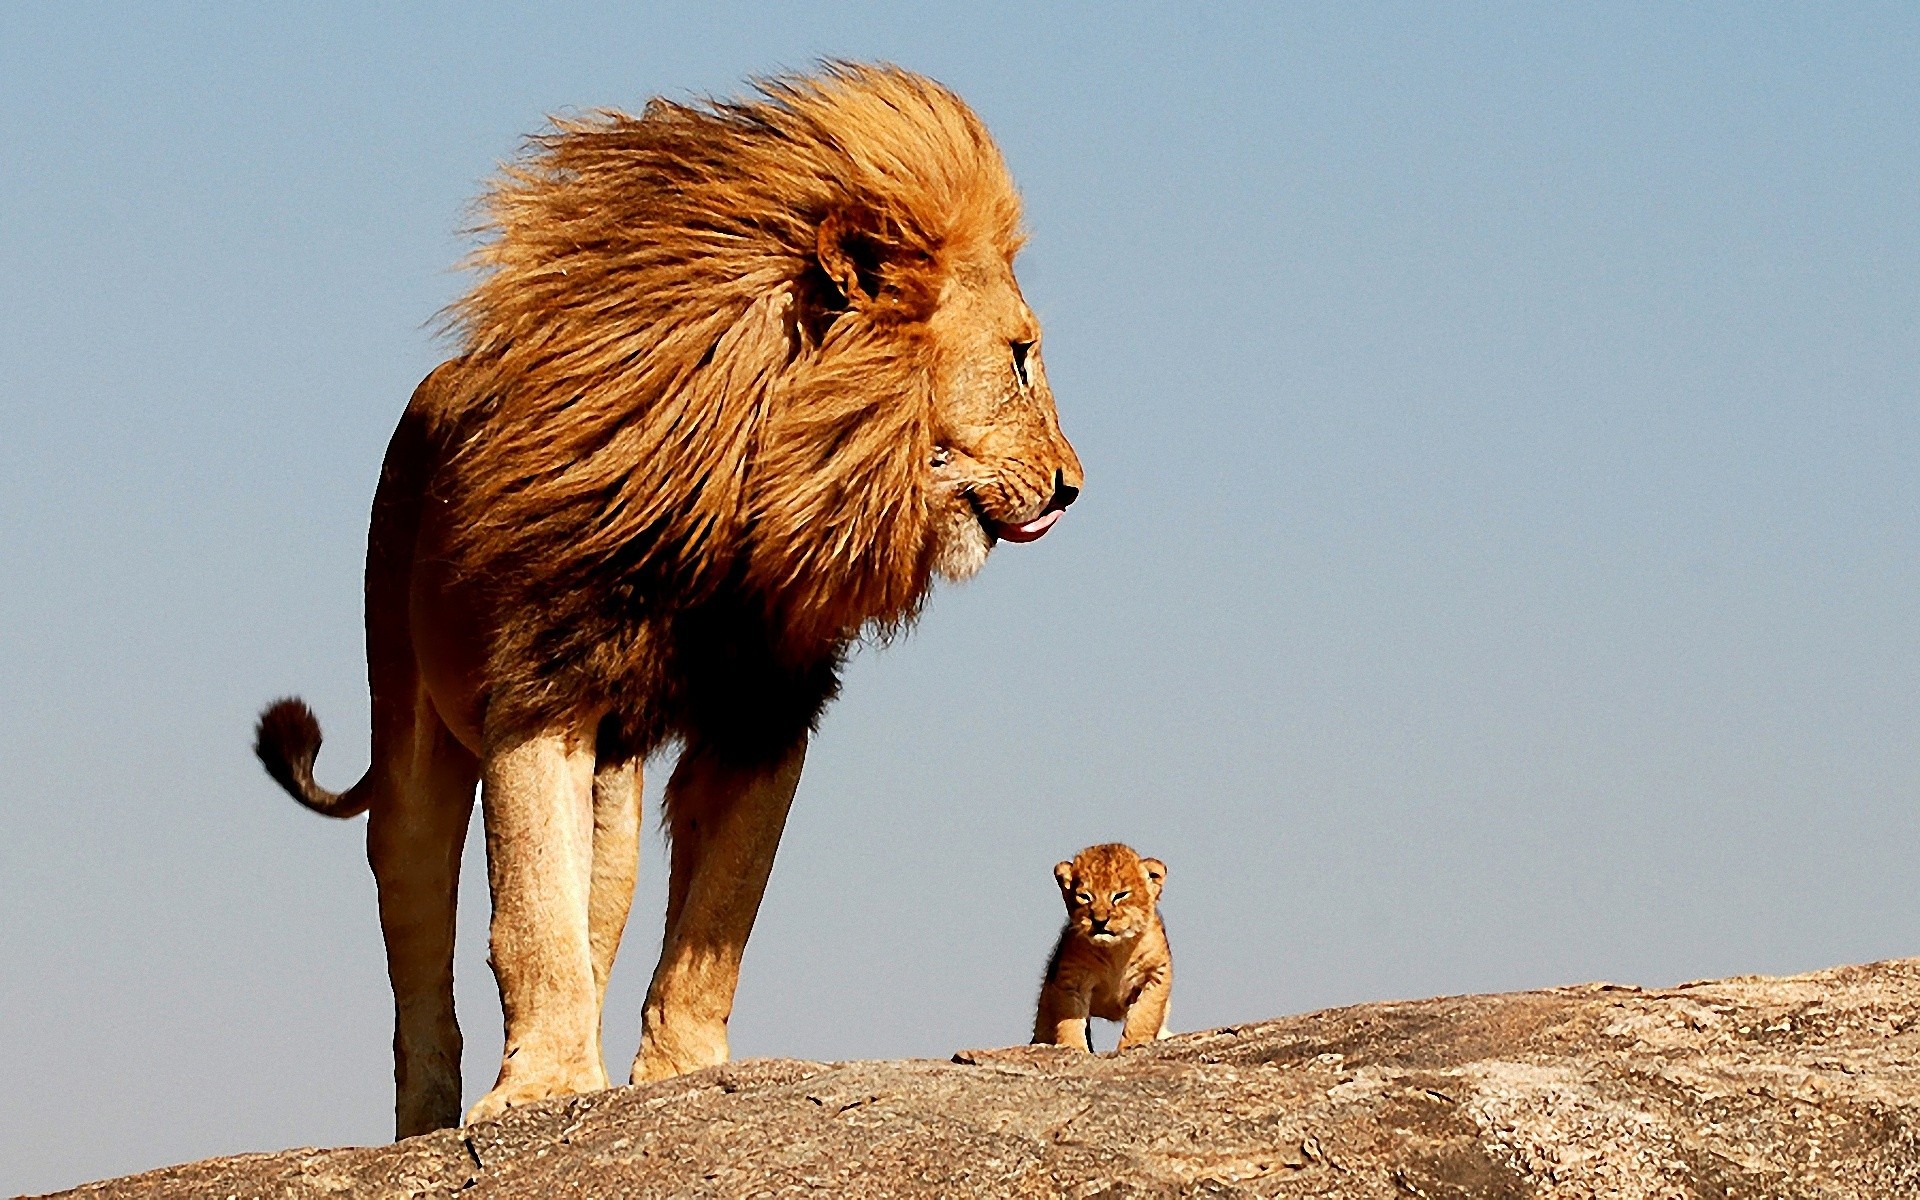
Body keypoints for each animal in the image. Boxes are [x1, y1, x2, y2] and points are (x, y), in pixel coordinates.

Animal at [251, 67, 1082, 1144]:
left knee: (598, 910)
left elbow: (716, 922)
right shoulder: (541, 691)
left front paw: (675, 1079)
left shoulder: (766, 714)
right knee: (419, 936)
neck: (745, 497)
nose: (1074, 487)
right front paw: (542, 1091)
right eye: (1021, 356)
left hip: (616, 789)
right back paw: (428, 1121)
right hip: (407, 727)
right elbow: (530, 916)